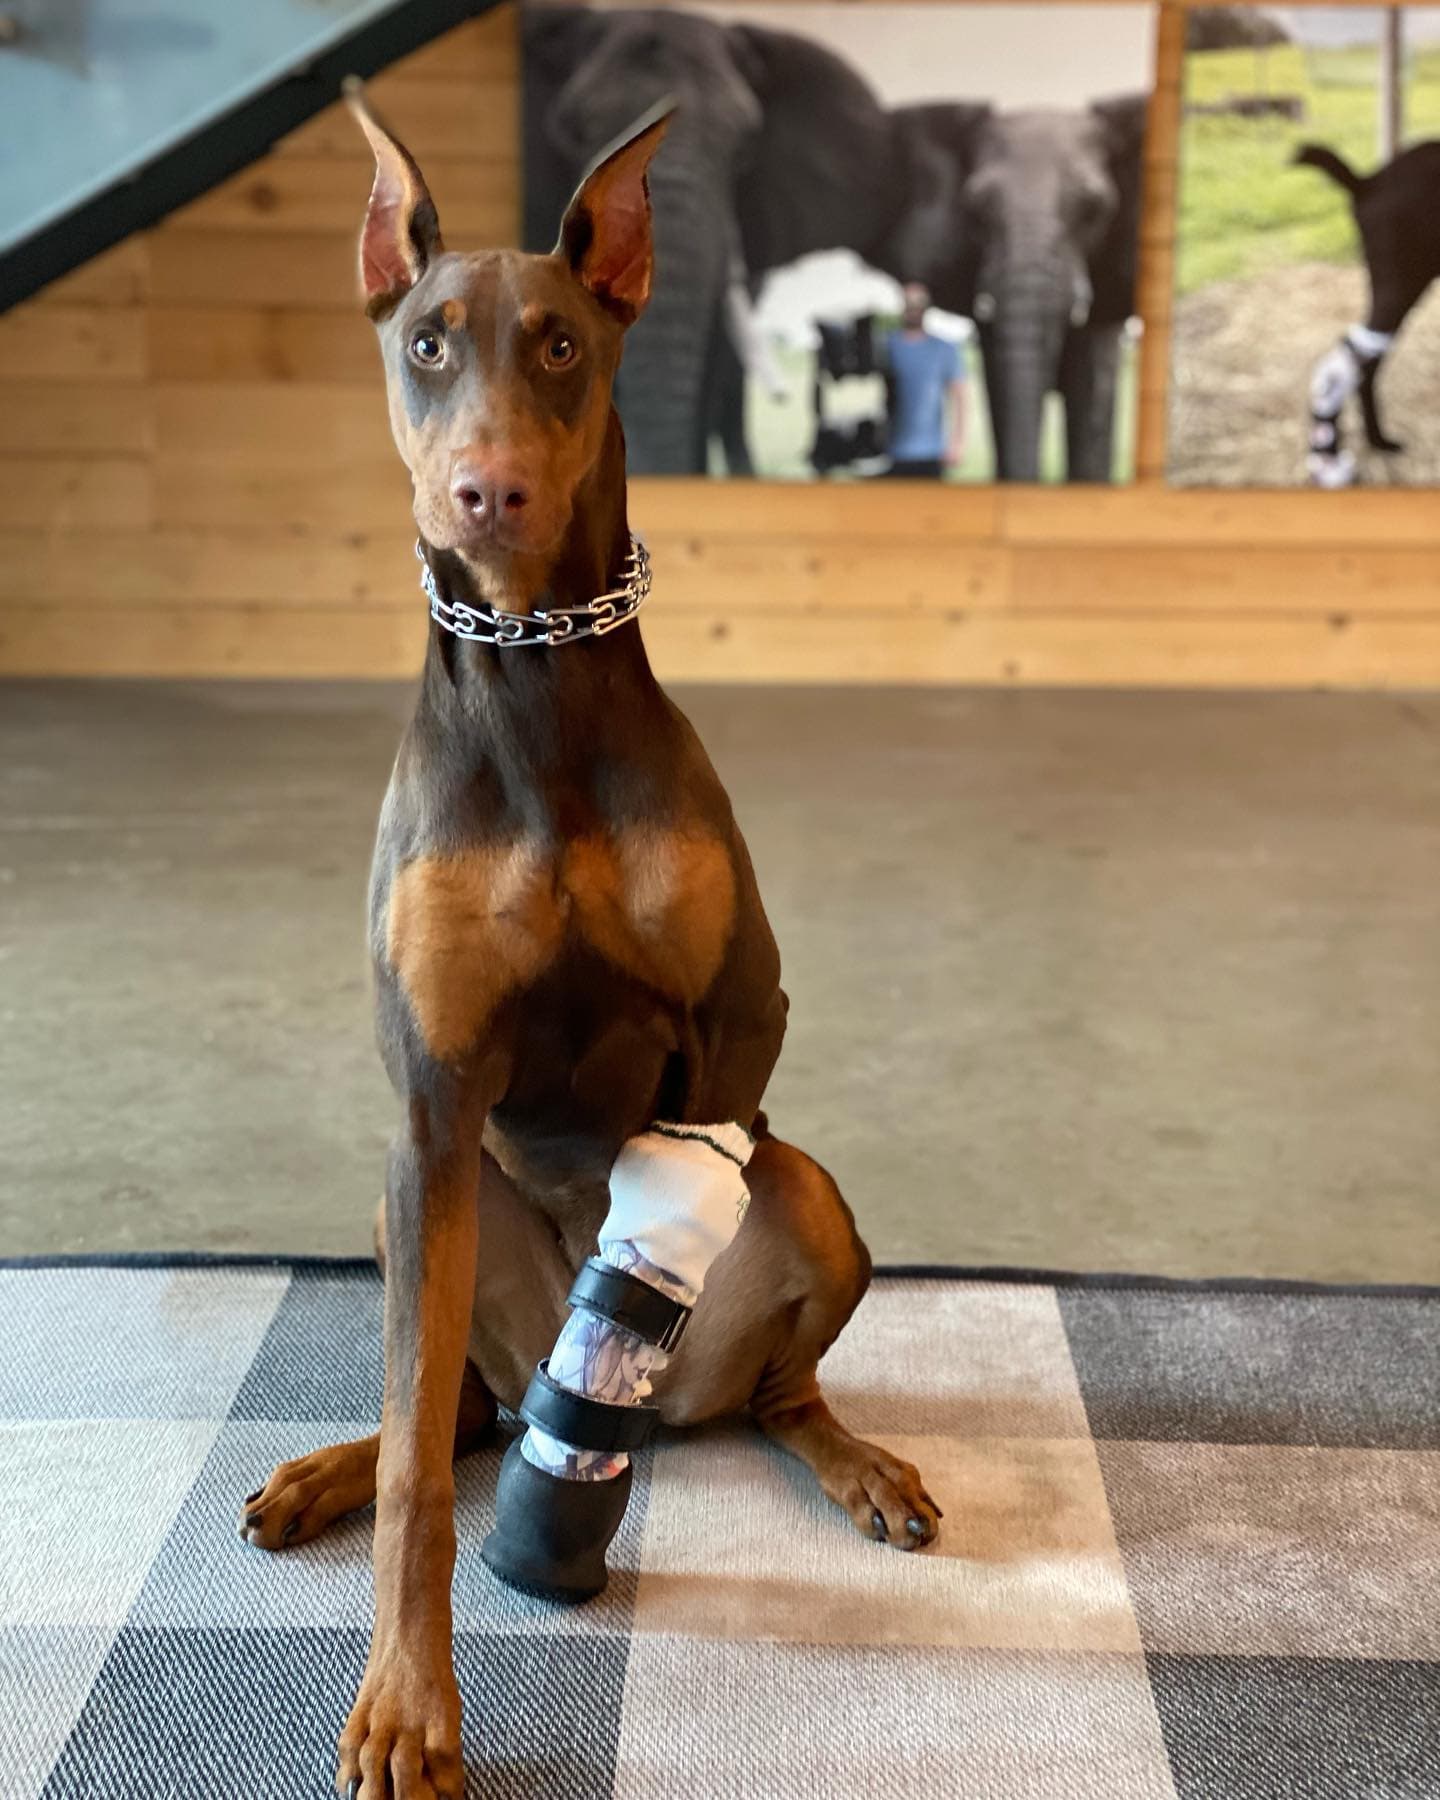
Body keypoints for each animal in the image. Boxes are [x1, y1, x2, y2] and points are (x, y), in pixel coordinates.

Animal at [241, 87, 936, 1800]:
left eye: (559, 343)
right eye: (428, 343)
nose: (484, 493)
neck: (532, 678)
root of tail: (675, 1414)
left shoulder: (740, 1019)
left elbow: (698, 1126)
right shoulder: (430, 1101)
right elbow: (424, 1476)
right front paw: (406, 1709)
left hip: (810, 1198)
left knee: (782, 1386)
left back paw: (847, 1458)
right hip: (417, 1215)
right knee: (463, 1417)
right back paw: (333, 1468)